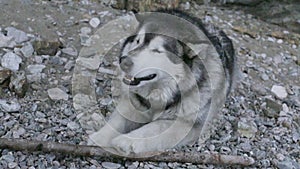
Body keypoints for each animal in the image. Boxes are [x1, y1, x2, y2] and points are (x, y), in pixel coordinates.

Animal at [89, 9, 237, 156]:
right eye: (138, 41)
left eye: (157, 51)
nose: (123, 61)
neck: (160, 93)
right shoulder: (134, 103)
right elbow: (117, 121)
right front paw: (99, 137)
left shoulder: (186, 125)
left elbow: (153, 127)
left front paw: (126, 140)